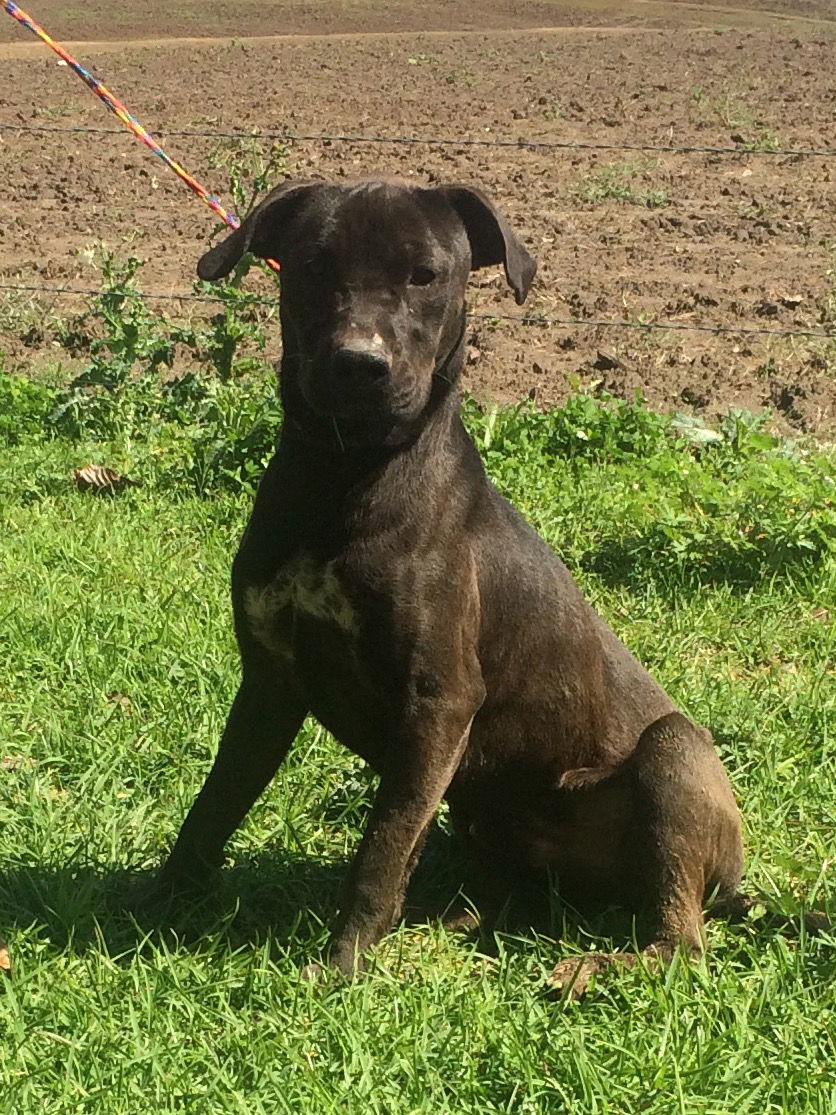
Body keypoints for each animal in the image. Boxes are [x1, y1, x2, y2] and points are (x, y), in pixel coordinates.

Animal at [150, 176, 744, 994]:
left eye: (425, 275)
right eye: (311, 266)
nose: (358, 365)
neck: (345, 476)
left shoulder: (439, 700)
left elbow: (382, 843)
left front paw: (342, 963)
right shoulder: (269, 680)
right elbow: (215, 805)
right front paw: (152, 905)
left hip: (673, 753)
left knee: (679, 939)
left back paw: (591, 965)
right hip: (481, 811)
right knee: (498, 892)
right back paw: (447, 923)